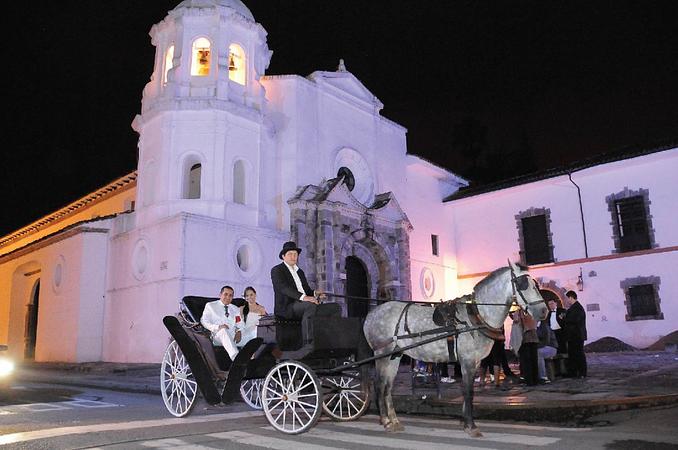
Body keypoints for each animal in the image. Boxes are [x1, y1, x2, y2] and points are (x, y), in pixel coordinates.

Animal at [364, 260, 548, 436]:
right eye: (522, 284)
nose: (544, 311)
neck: (476, 315)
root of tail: (371, 315)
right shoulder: (467, 360)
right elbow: (468, 392)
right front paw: (471, 426)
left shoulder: (474, 362)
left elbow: (468, 392)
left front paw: (465, 423)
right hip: (382, 353)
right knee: (379, 384)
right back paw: (385, 421)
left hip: (394, 356)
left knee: (388, 386)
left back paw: (394, 421)